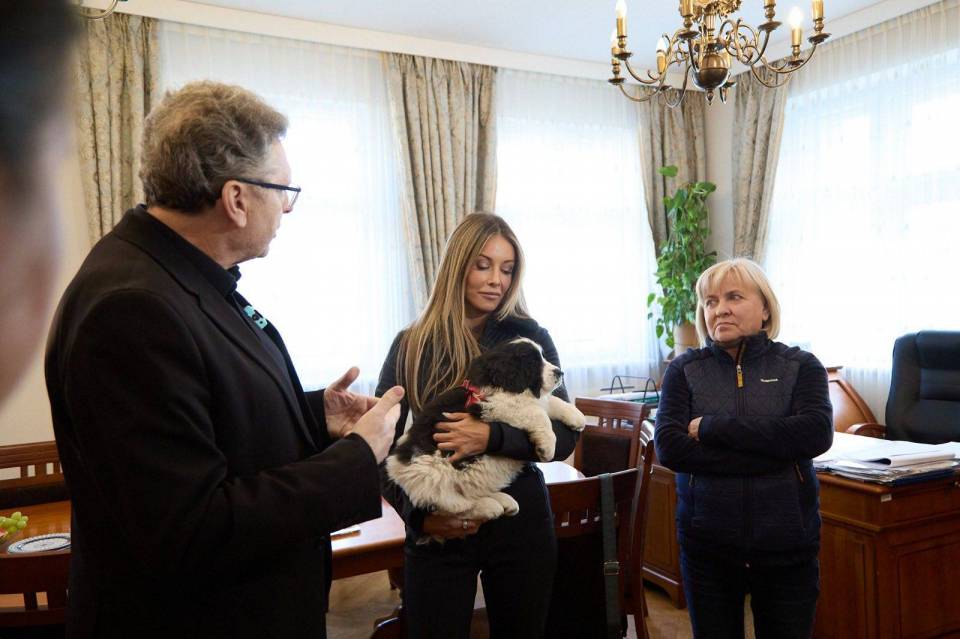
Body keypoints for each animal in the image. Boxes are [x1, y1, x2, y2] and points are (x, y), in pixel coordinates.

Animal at [386, 337, 586, 535]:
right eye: (533, 362)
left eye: (543, 356)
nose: (560, 372)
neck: (503, 385)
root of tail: (396, 466)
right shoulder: (496, 404)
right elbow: (537, 413)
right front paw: (547, 446)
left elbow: (550, 402)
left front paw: (576, 416)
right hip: (429, 473)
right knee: (450, 504)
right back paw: (490, 506)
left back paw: (504, 501)